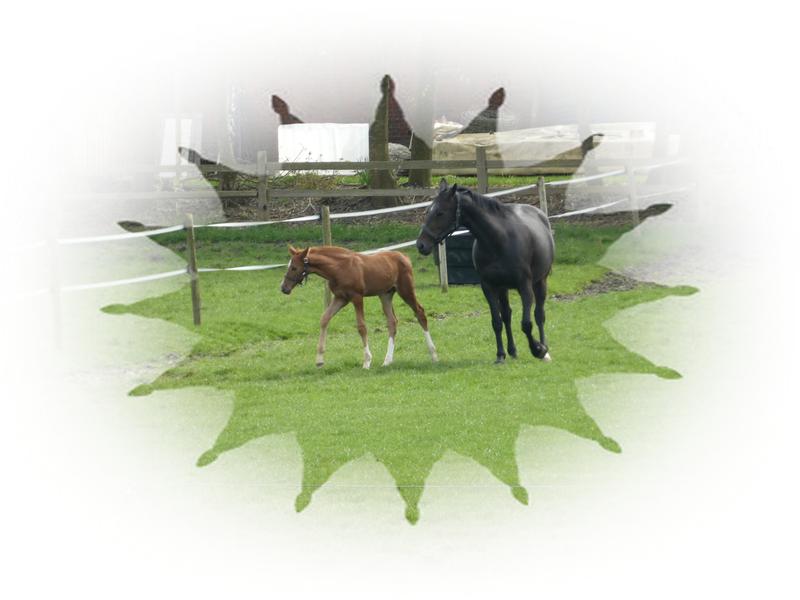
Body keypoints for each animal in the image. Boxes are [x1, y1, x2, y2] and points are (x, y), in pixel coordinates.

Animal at [280, 245, 438, 369]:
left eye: (294, 268)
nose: (284, 288)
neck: (338, 268)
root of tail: (404, 257)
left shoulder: (357, 297)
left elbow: (361, 327)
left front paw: (367, 361)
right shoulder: (340, 298)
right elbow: (324, 318)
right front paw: (319, 360)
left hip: (406, 290)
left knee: (420, 313)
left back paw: (434, 355)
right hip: (385, 295)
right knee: (392, 322)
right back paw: (387, 361)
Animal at [416, 179, 555, 364]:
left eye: (440, 213)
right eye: (428, 211)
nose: (421, 244)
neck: (498, 240)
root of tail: (540, 214)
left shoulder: (524, 287)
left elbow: (526, 323)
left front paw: (538, 349)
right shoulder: (489, 287)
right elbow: (497, 322)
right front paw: (500, 355)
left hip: (540, 282)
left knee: (539, 315)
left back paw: (545, 351)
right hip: (503, 288)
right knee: (507, 315)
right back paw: (512, 350)